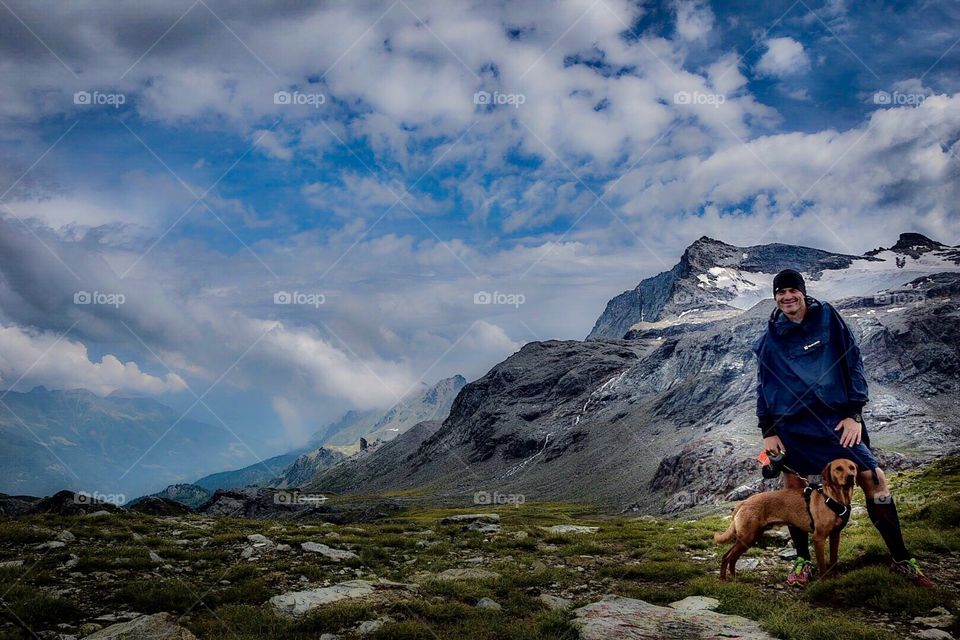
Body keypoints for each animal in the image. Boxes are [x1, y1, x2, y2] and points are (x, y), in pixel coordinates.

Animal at [712, 460, 856, 580]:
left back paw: (734, 577)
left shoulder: (835, 535)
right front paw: (824, 581)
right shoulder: (818, 537)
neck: (834, 498)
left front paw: (835, 578)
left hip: (749, 538)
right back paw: (724, 579)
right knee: (727, 557)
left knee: (731, 557)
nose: (851, 477)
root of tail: (744, 502)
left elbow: (834, 559)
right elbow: (822, 565)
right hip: (747, 537)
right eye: (838, 468)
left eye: (852, 467)